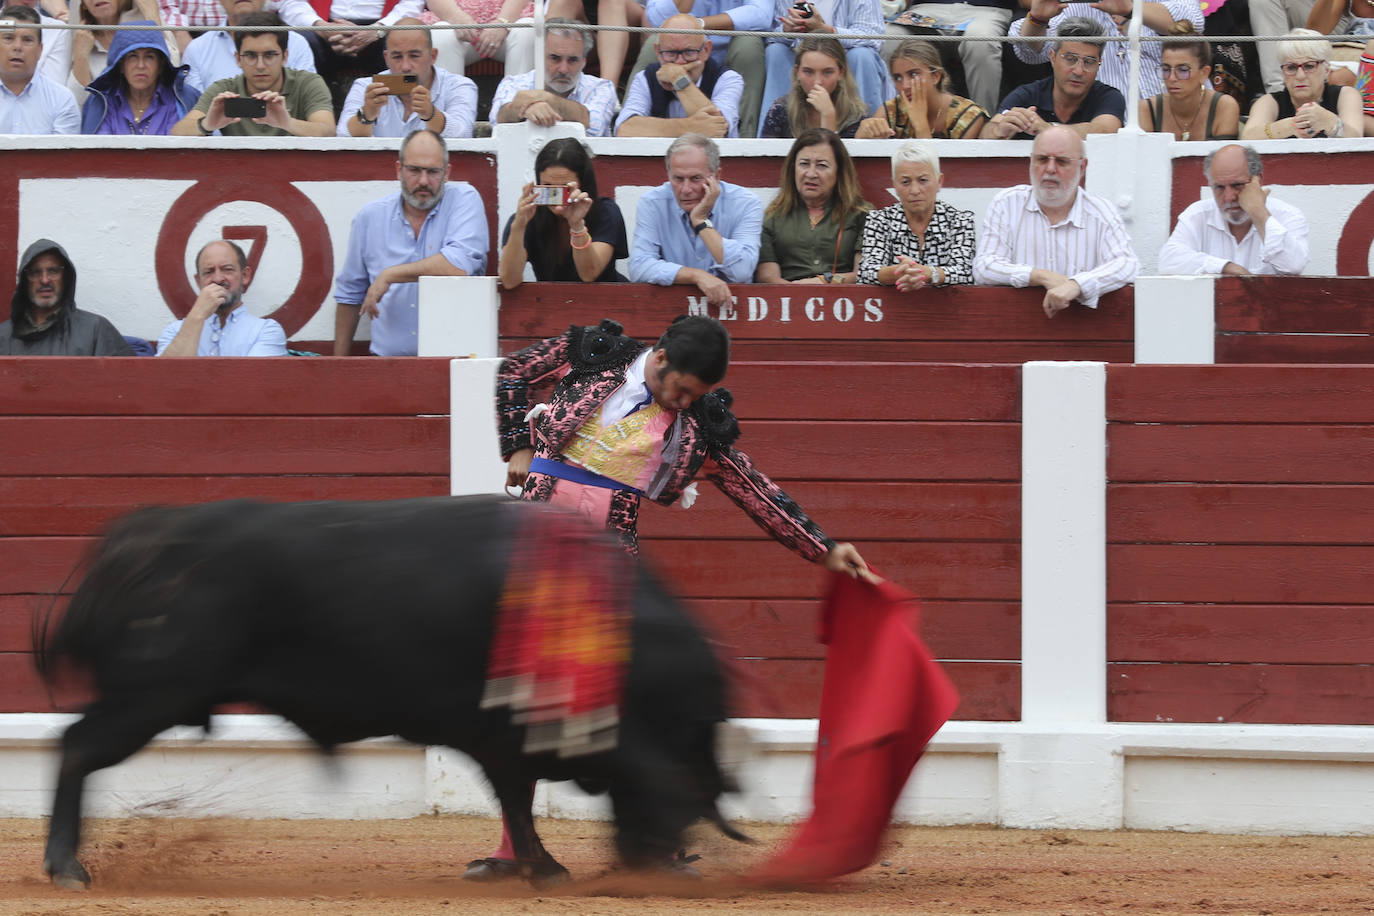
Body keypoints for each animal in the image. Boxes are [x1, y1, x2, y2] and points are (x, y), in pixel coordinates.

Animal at [34, 497, 741, 889]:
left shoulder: (503, 736)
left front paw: (538, 866)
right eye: (681, 781)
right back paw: (67, 868)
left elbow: (515, 801)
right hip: (152, 693)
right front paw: (544, 868)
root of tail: (146, 532)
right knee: (78, 746)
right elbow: (517, 798)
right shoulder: (501, 732)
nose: (660, 863)